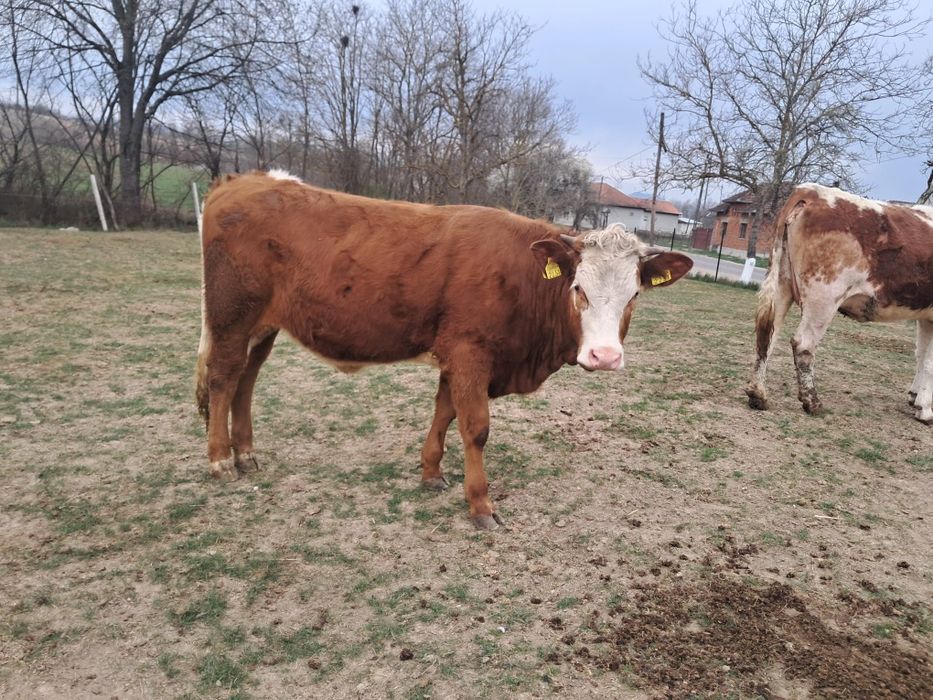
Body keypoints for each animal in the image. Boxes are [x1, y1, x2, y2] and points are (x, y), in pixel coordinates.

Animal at [195, 170, 693, 529]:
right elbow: (474, 427)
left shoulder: (455, 355)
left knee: (245, 380)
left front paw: (431, 473)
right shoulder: (470, 352)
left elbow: (444, 411)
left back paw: (246, 454)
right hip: (230, 317)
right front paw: (480, 505)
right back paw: (220, 460)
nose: (604, 357)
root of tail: (246, 180)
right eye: (578, 289)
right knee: (223, 377)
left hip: (262, 326)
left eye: (634, 295)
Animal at [745, 183, 933, 423]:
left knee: (767, 334)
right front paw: (925, 409)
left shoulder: (925, 316)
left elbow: (921, 355)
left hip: (781, 283)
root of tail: (809, 191)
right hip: (824, 297)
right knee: (803, 343)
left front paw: (915, 397)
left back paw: (758, 393)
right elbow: (929, 362)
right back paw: (812, 402)